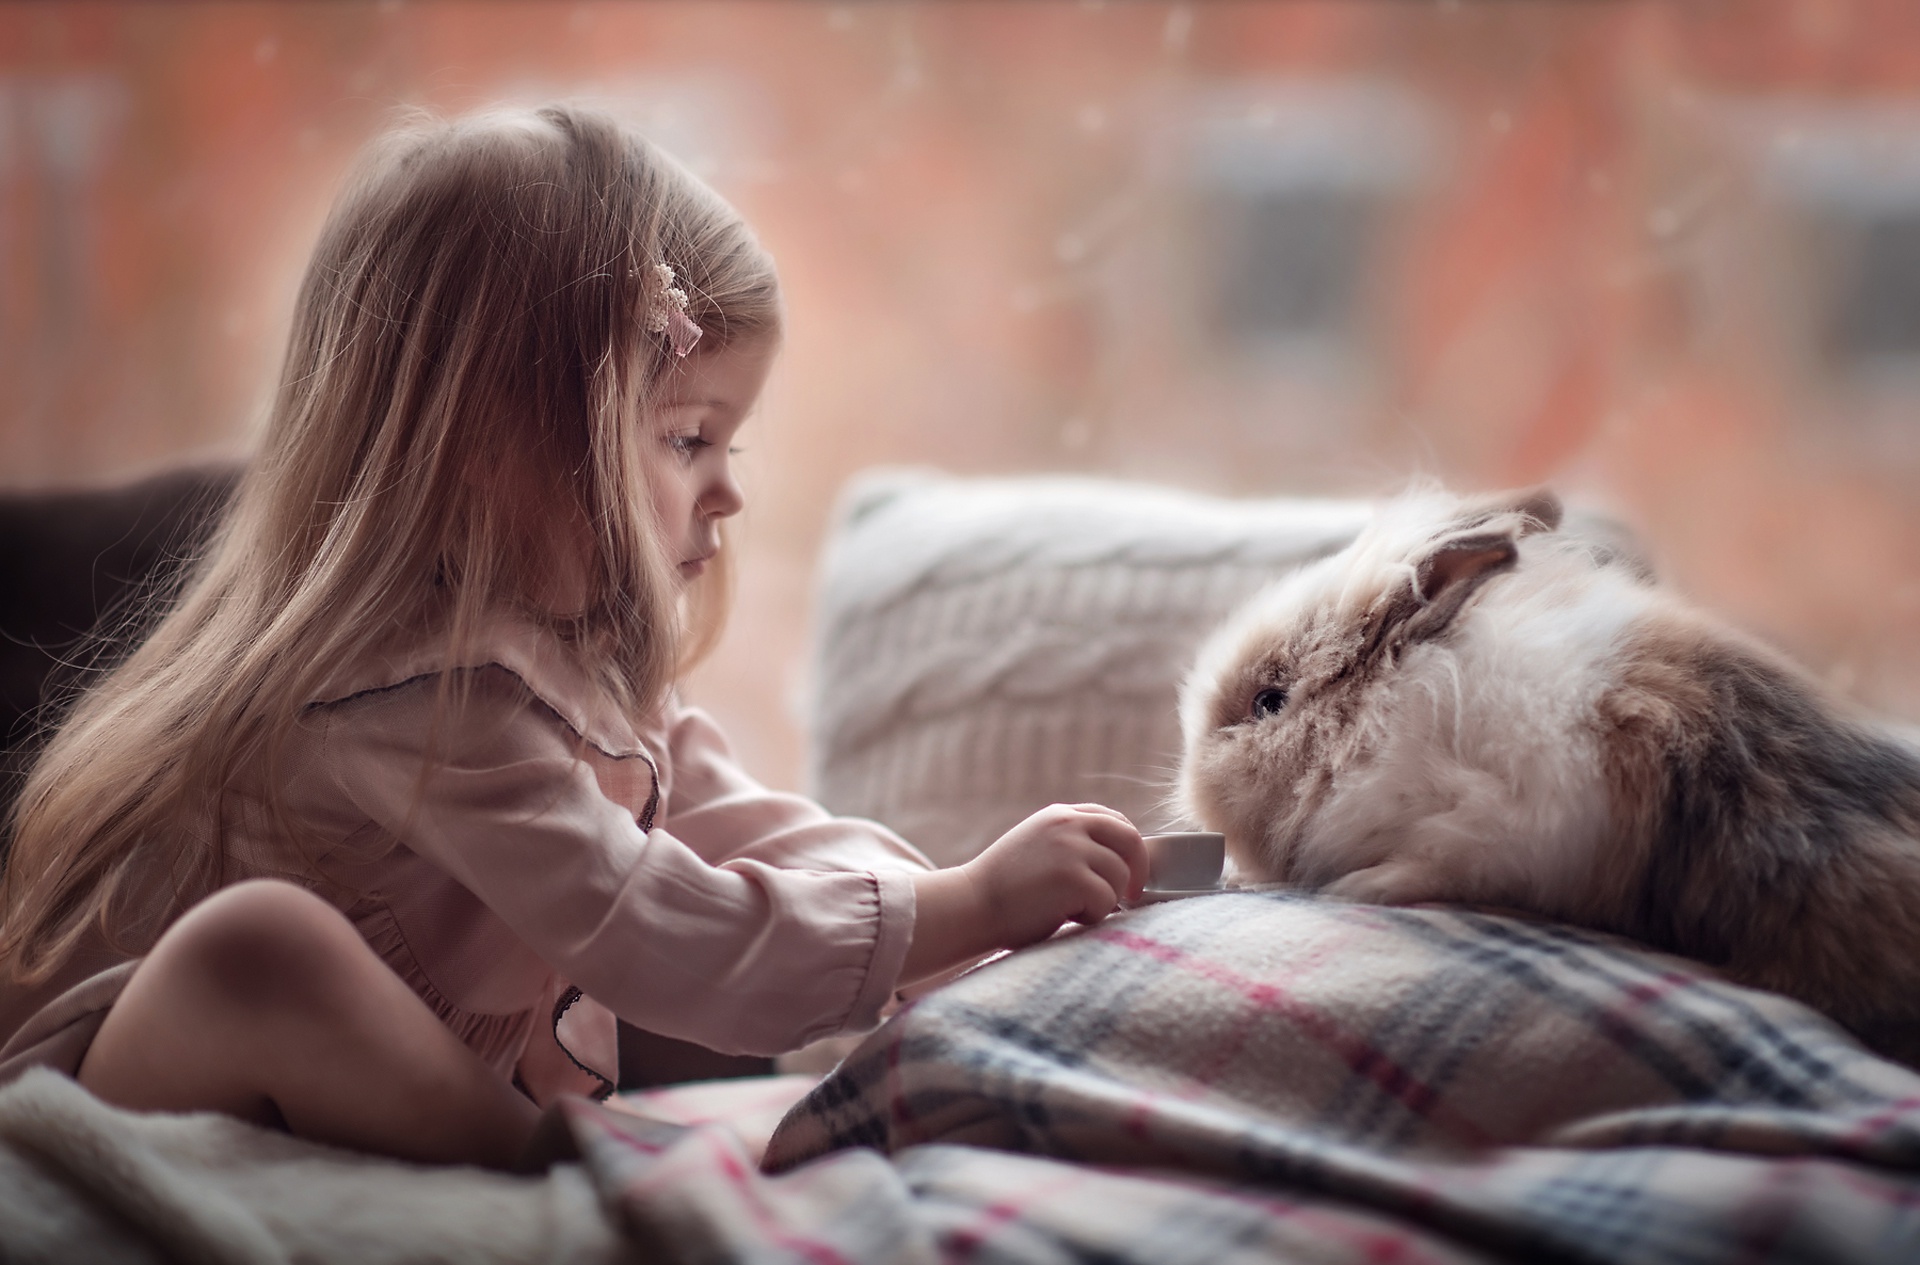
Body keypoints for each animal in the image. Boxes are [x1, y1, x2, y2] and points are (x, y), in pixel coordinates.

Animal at [1167, 489, 1920, 1067]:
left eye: (1269, 702)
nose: (1191, 784)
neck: (1385, 720)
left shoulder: (1496, 829)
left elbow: (1426, 865)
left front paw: (1357, 888)